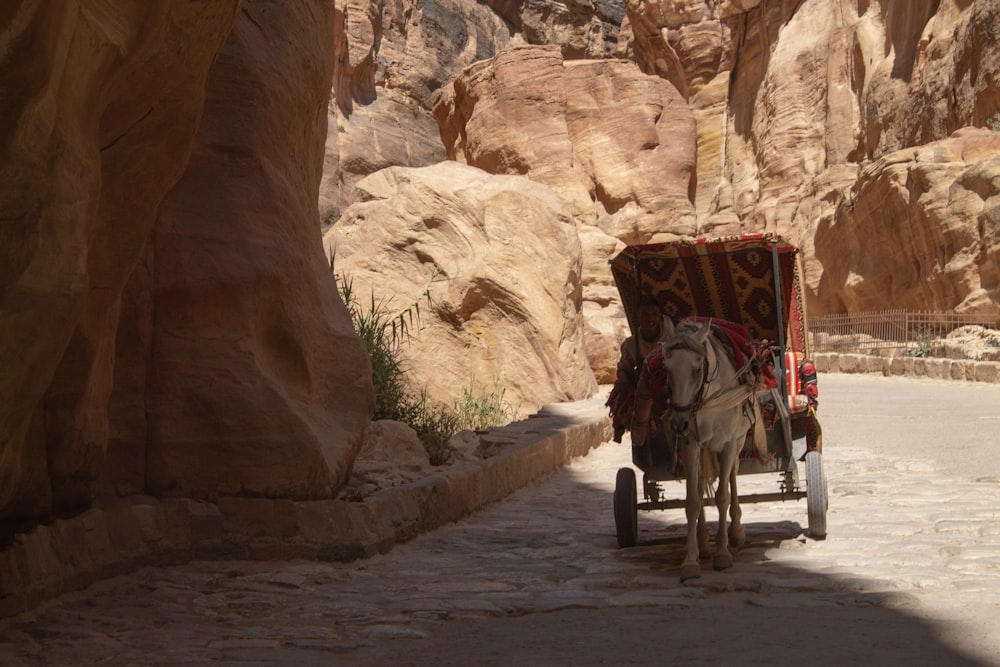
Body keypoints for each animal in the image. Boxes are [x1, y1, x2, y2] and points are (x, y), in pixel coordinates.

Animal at [636, 318, 752, 580]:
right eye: (667, 369)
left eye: (697, 370)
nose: (679, 422)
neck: (709, 398)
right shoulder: (691, 445)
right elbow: (693, 501)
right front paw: (691, 560)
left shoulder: (728, 444)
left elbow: (722, 496)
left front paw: (723, 554)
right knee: (700, 486)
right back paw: (704, 543)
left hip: (739, 440)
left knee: (733, 475)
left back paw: (736, 532)